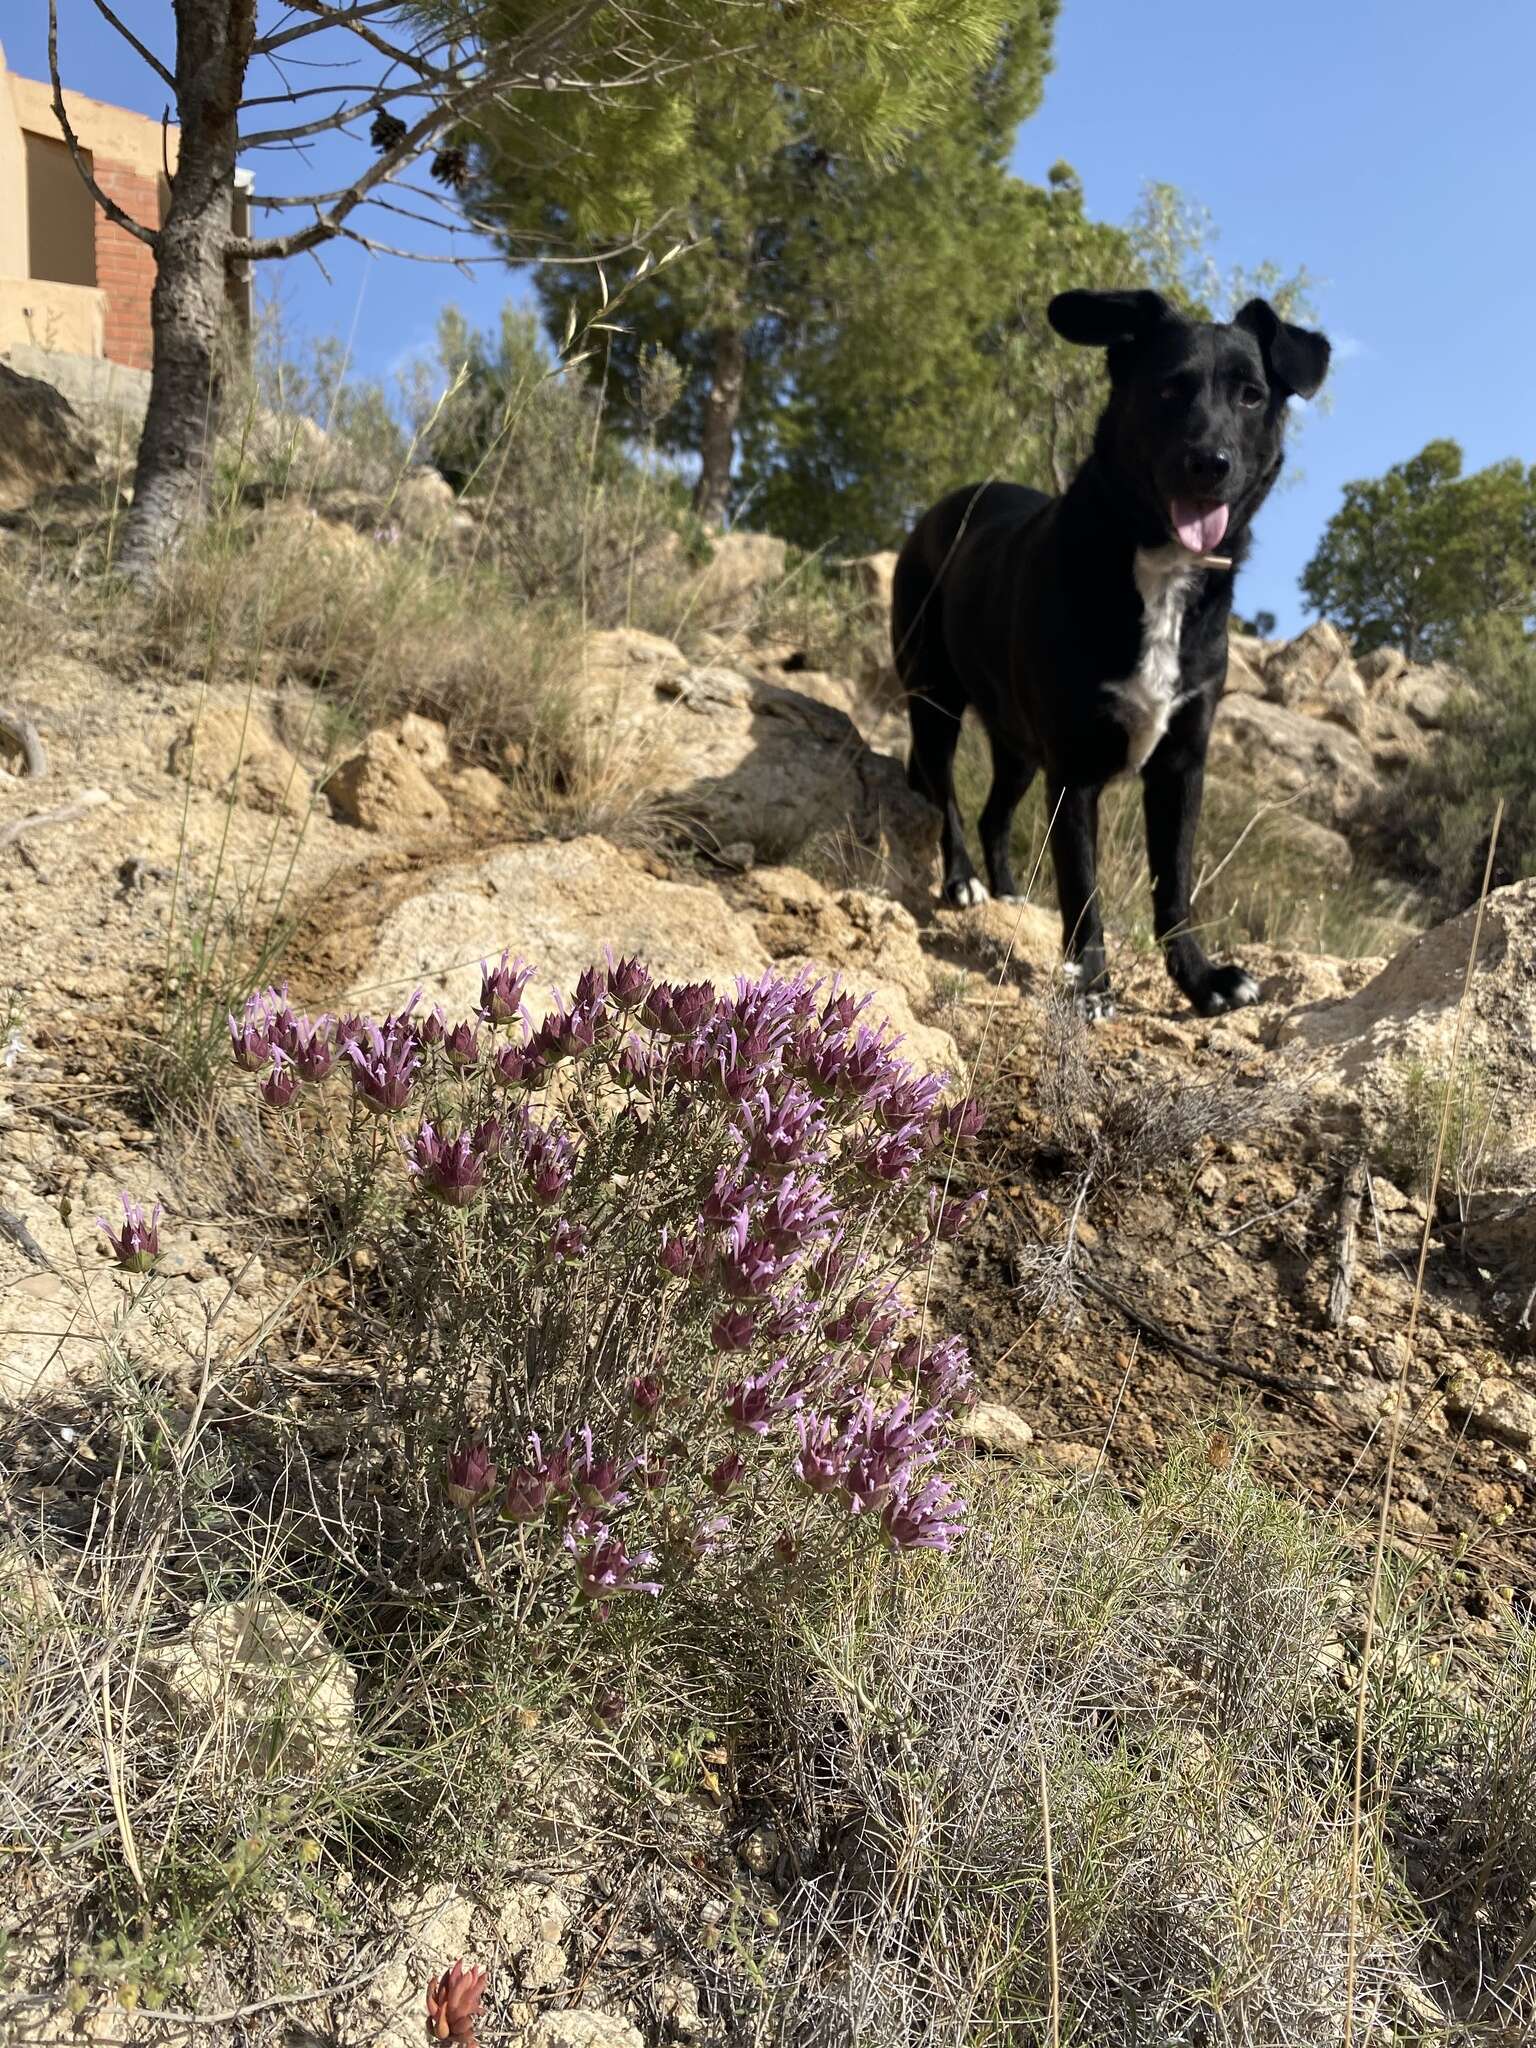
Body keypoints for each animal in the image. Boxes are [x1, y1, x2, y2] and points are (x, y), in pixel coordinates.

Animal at [901, 284, 1335, 1019]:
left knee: (993, 815)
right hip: (935, 702)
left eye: (1251, 395)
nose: (1210, 462)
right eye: (1168, 389)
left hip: (1019, 746)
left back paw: (1009, 892)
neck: (1157, 566)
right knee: (949, 802)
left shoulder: (1180, 766)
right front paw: (1091, 986)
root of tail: (942, 506)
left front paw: (1201, 979)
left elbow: (1175, 885)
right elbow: (1082, 889)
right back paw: (962, 882)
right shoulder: (1074, 771)